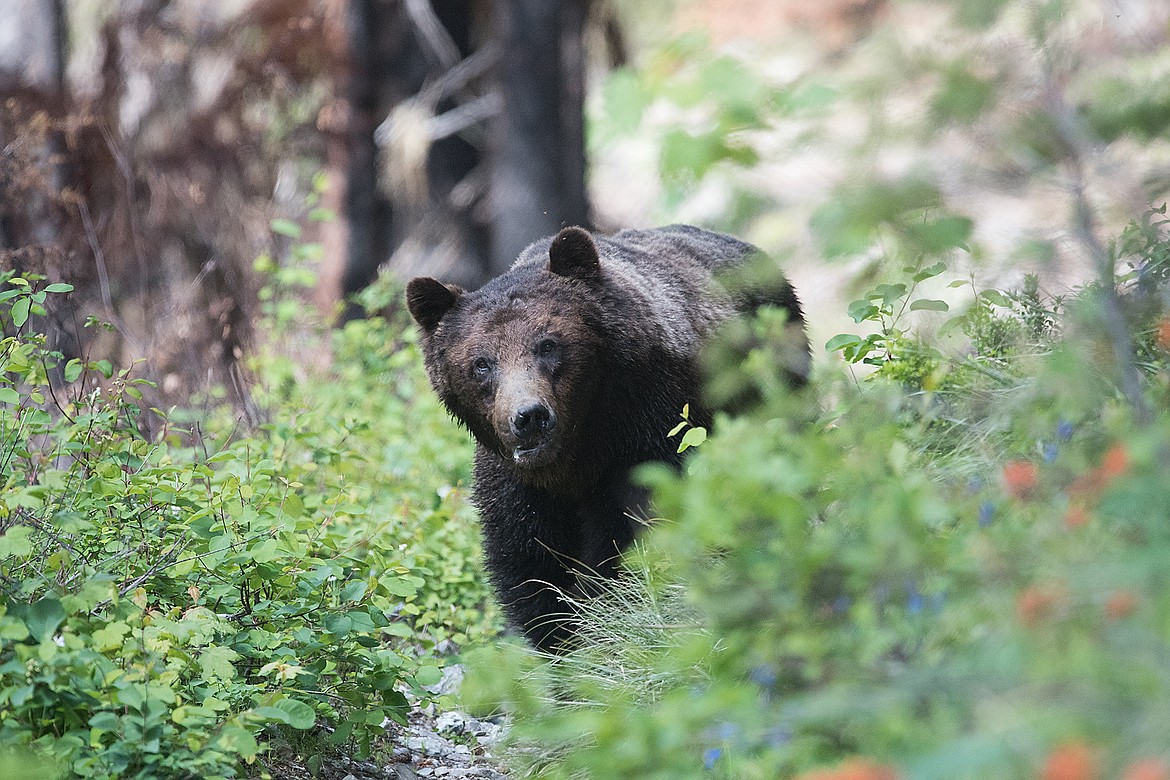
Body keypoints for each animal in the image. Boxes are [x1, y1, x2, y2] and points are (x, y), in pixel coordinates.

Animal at [407, 225, 809, 654]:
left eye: (548, 344)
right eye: (481, 363)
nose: (529, 417)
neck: (579, 450)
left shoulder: (648, 430)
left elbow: (628, 533)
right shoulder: (518, 483)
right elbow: (529, 563)